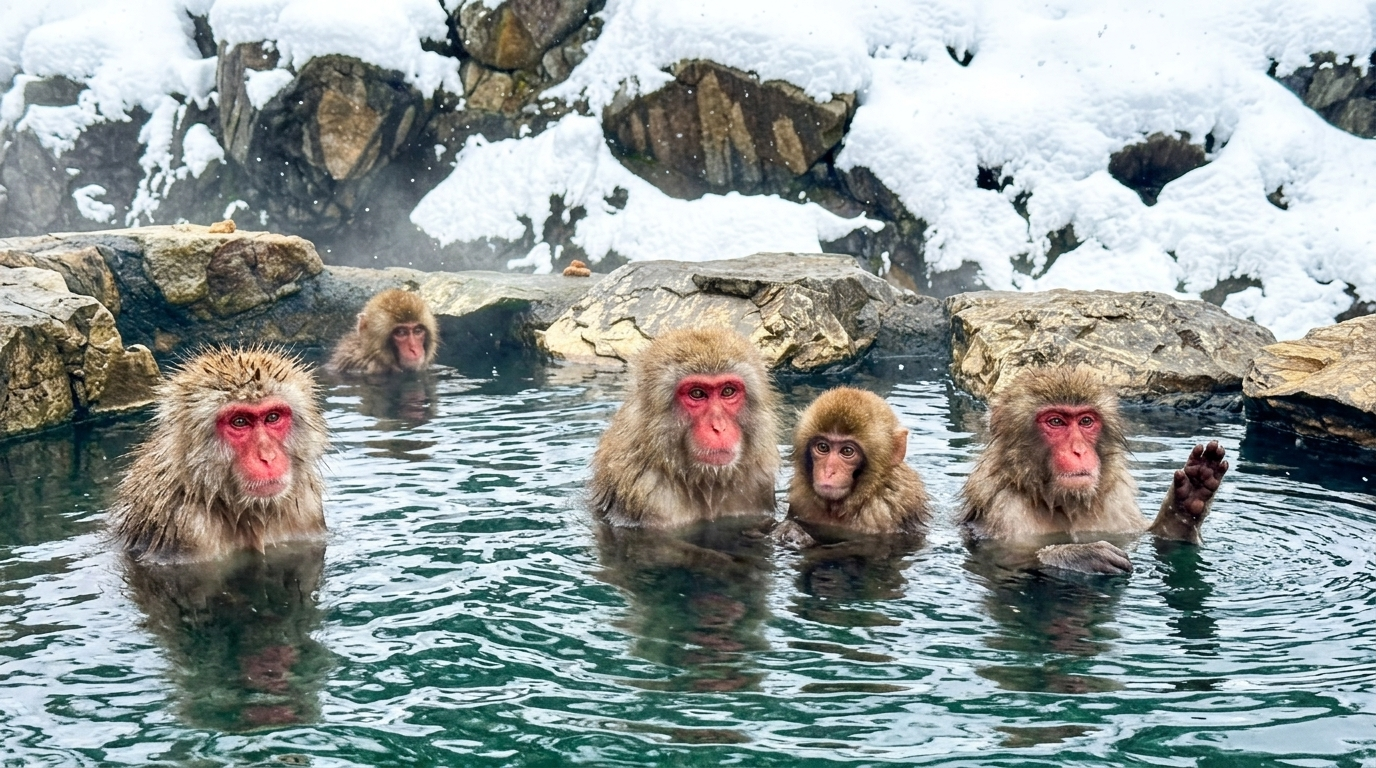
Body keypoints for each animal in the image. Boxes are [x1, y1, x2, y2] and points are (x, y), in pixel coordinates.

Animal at [589, 326, 781, 528]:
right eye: (697, 393)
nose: (719, 427)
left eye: (728, 391)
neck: (702, 480)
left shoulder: (757, 482)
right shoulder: (648, 493)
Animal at [959, 367, 1229, 575]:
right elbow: (1001, 560)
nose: (1079, 450)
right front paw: (1080, 555)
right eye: (1056, 422)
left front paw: (1190, 498)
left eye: (1086, 421)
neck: (1061, 504)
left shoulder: (1116, 505)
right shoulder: (1006, 510)